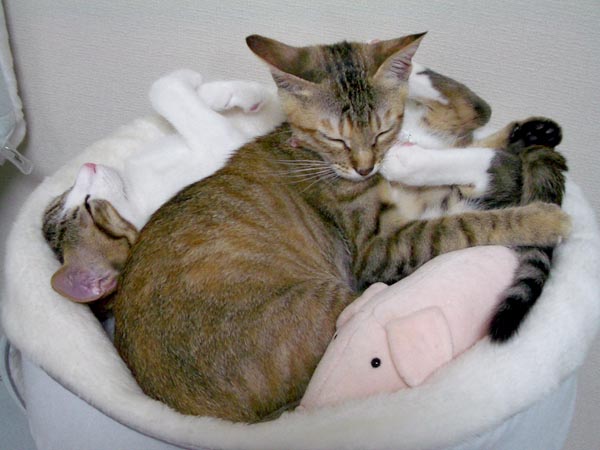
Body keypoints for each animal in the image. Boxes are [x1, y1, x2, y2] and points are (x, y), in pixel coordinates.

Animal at [42, 71, 285, 302]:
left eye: (67, 196)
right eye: (88, 207)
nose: (87, 166)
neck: (132, 190)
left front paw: (223, 93)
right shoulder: (223, 145)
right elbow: (164, 90)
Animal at [112, 33, 570, 423]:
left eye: (381, 129)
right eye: (337, 138)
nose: (367, 166)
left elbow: (470, 119)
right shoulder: (379, 249)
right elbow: (470, 224)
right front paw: (543, 218)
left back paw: (525, 132)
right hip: (340, 298)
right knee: (491, 172)